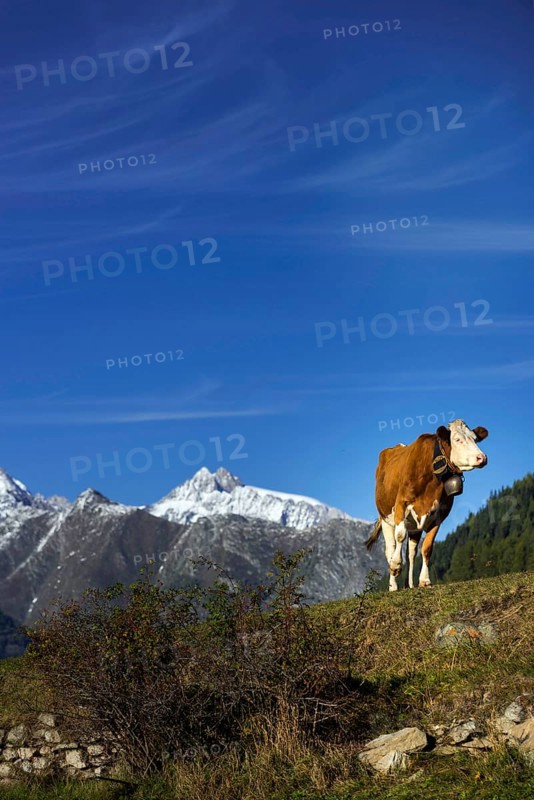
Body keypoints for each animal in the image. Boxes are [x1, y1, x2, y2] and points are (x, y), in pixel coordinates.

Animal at [366, 419, 489, 591]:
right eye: (457, 439)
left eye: (475, 439)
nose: (482, 457)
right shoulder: (401, 503)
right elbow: (400, 535)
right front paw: (396, 566)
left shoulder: (439, 515)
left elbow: (427, 548)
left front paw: (424, 580)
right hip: (385, 518)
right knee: (390, 548)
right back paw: (393, 585)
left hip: (414, 527)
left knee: (411, 553)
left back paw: (409, 584)